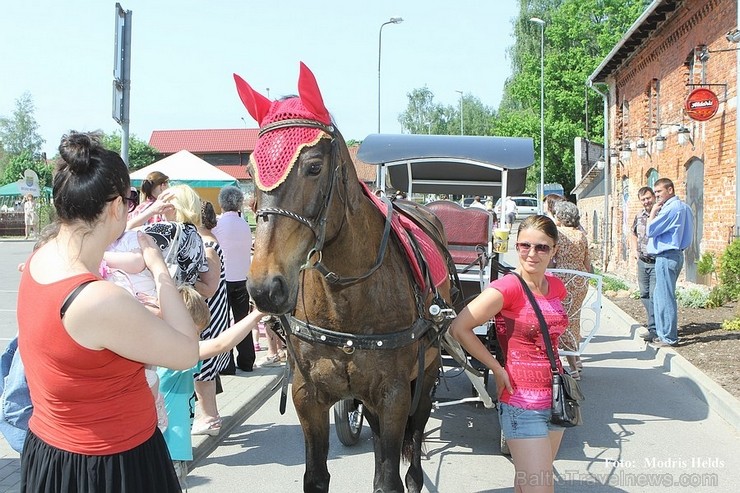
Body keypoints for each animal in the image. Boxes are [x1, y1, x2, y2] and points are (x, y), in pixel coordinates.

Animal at [237, 62, 454, 492]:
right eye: (251, 169)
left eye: (314, 166)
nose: (265, 287)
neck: (347, 299)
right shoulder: (308, 396)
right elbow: (317, 476)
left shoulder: (394, 395)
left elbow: (390, 479)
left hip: (426, 375)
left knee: (414, 445)